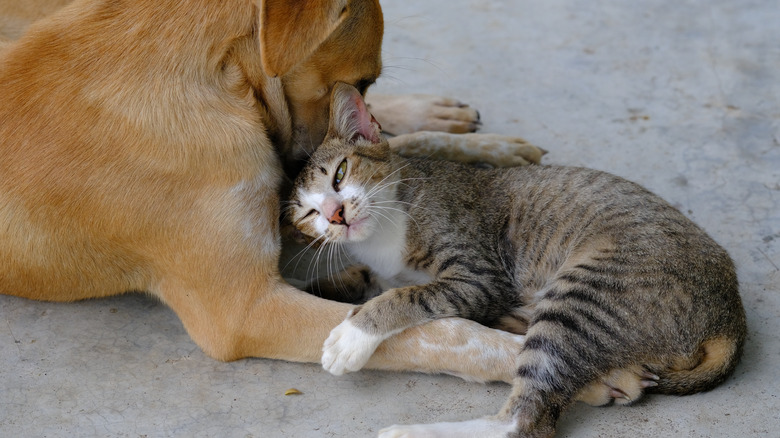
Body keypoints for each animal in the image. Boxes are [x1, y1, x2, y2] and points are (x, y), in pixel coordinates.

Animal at [0, 0, 544, 384]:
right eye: (363, 78)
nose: (328, 199)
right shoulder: (245, 311)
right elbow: (441, 333)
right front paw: (528, 359)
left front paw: (484, 149)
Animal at [284, 83, 748, 438]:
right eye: (308, 213)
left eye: (340, 173)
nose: (335, 214)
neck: (383, 233)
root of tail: (731, 317)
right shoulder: (391, 271)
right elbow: (373, 281)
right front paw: (331, 285)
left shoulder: (479, 276)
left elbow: (406, 296)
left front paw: (351, 335)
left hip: (585, 291)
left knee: (528, 422)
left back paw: (414, 433)